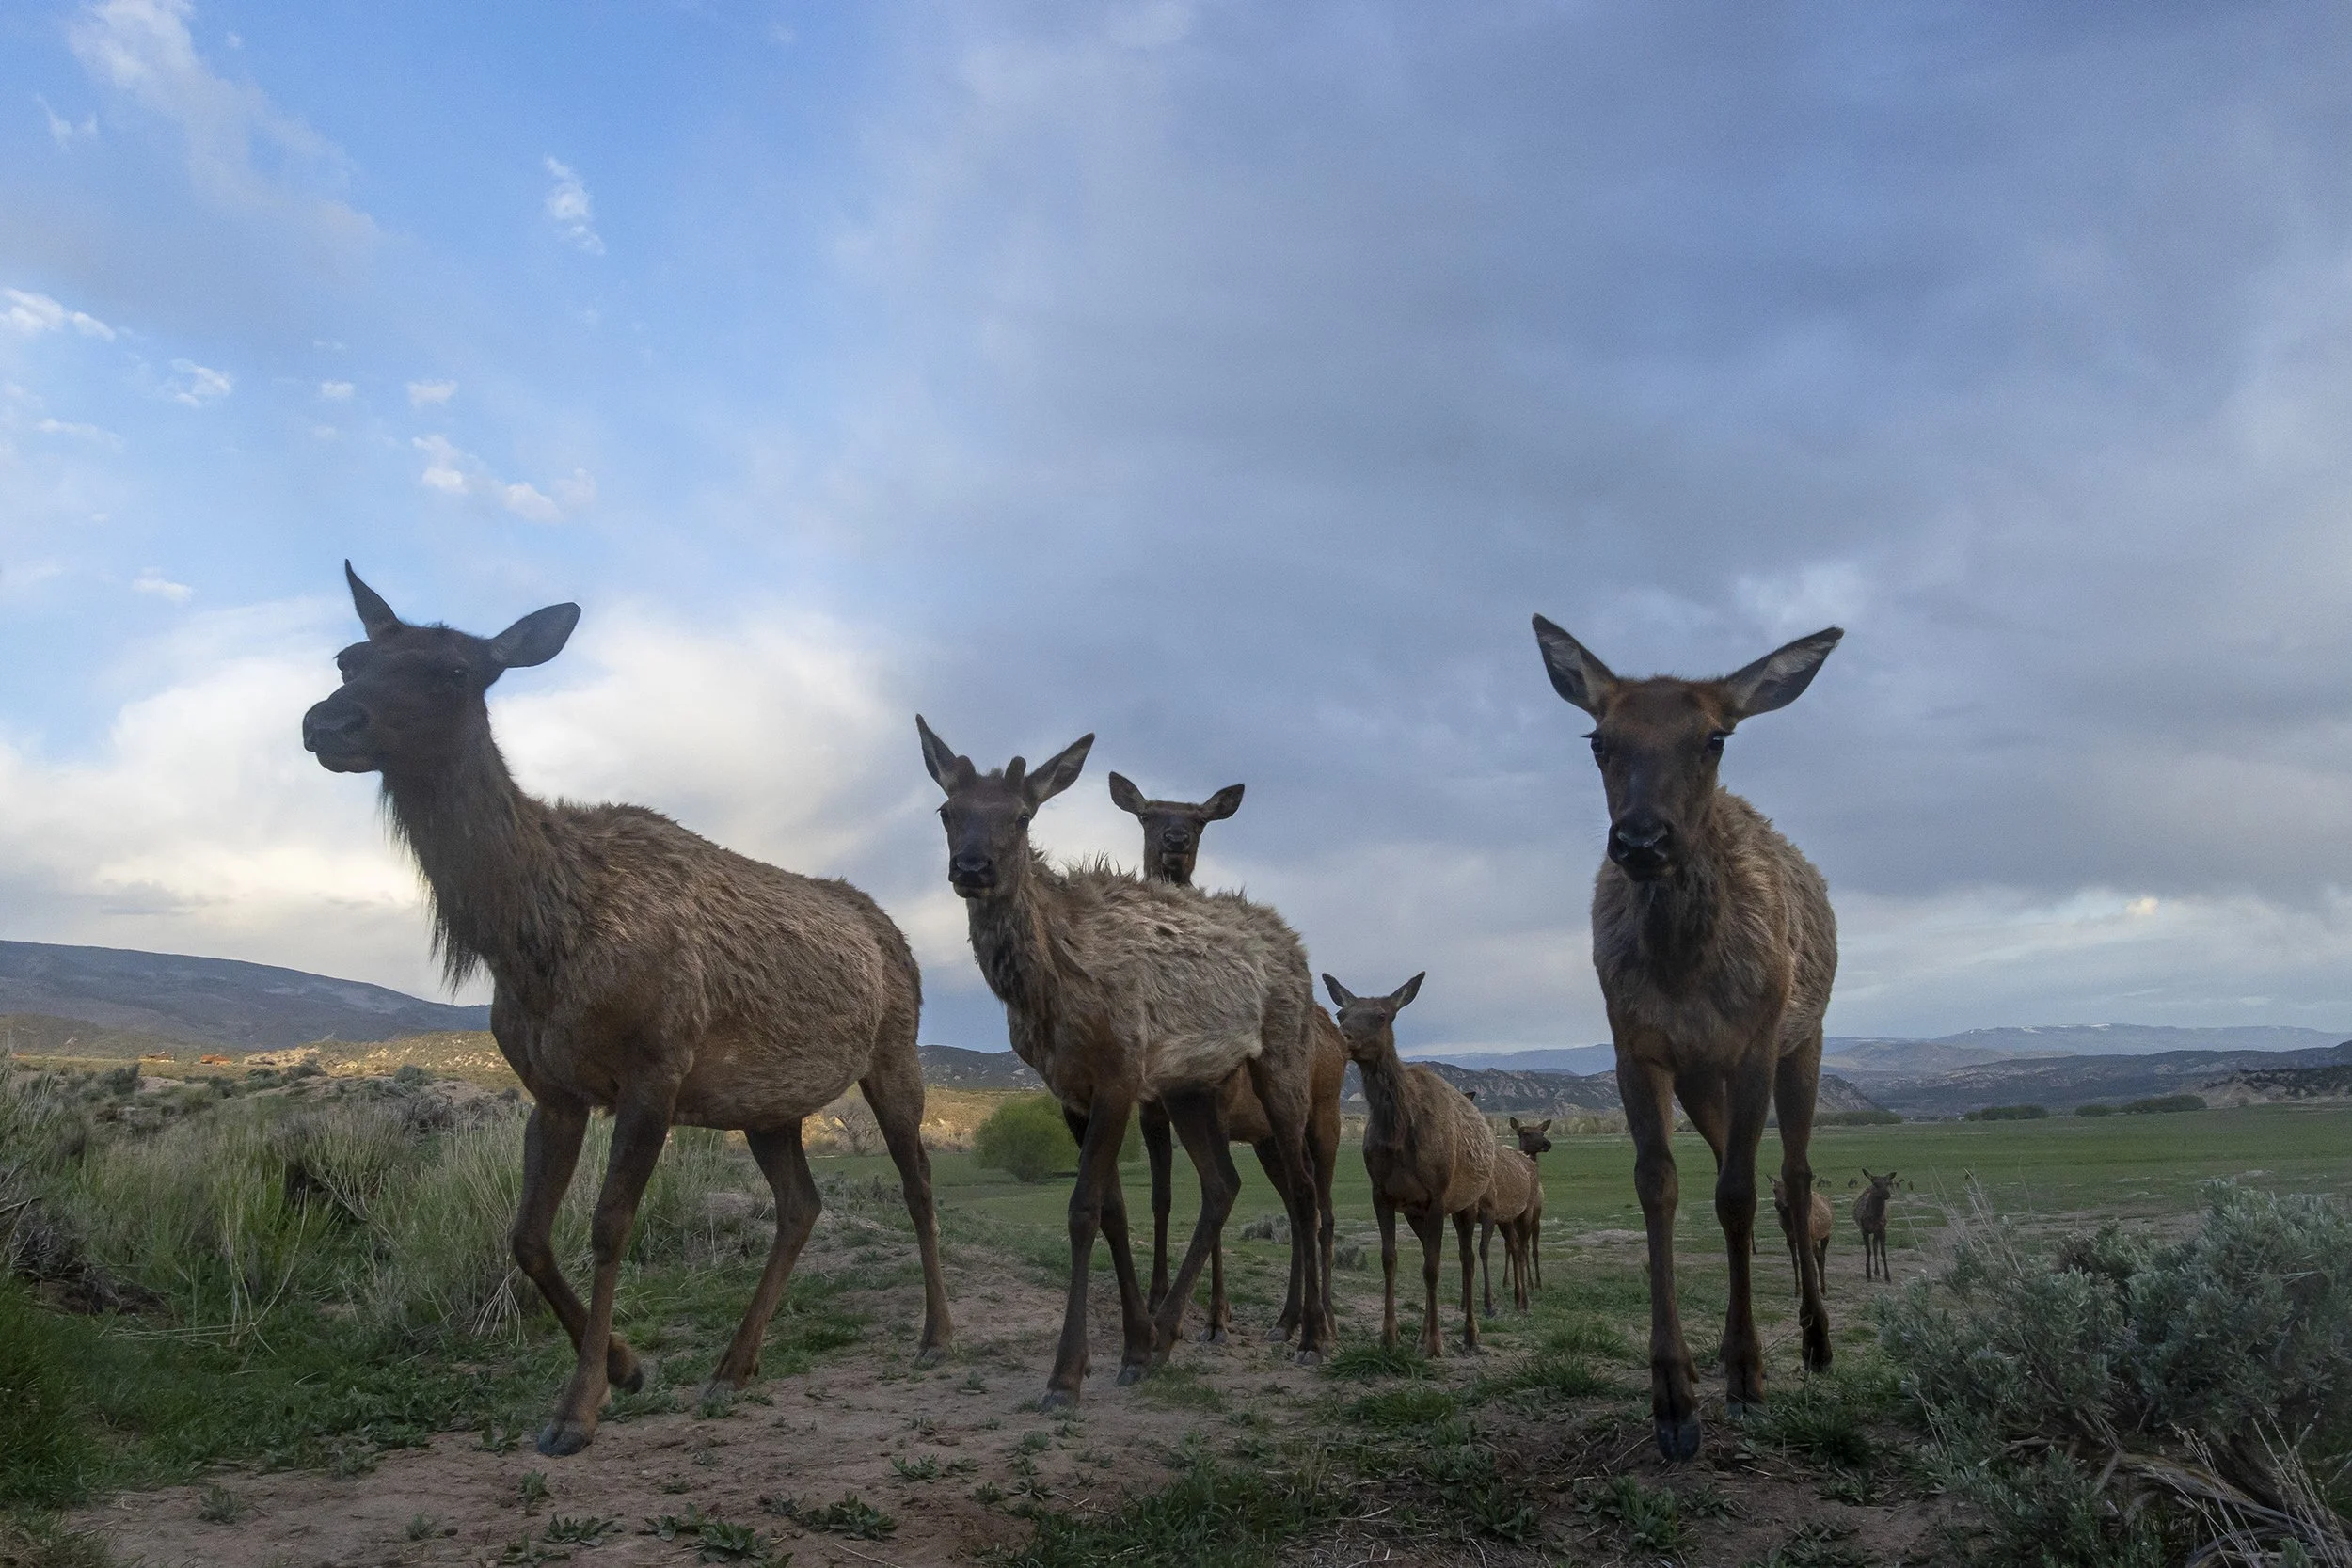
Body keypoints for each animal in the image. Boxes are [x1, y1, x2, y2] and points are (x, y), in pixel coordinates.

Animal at [300, 565, 951, 1459]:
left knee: (917, 1178)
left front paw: (578, 1408)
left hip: (895, 1050)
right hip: (766, 1101)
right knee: (801, 1204)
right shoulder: (553, 1087)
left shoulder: (657, 1065)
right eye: (348, 657)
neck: (534, 942)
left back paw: (937, 1334)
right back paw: (734, 1363)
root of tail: (895, 933)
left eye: (456, 671)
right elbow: (526, 1234)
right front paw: (627, 1364)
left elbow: (609, 1225)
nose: (327, 721)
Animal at [1108, 772, 1343, 1349]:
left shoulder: (1212, 1097)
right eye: (1147, 815)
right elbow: (1165, 1197)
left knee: (1321, 1207)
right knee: (1297, 1205)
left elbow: (1213, 1195)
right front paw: (1159, 1299)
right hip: (1267, 1140)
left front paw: (1216, 1317)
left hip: (1322, 1116)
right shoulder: (1152, 1110)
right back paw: (1287, 1319)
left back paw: (1323, 1321)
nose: (1175, 842)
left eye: (1199, 820)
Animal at [1324, 973, 1494, 1357]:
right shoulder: (1382, 1194)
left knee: (1467, 1258)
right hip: (1417, 1213)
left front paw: (1434, 1343)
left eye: (1382, 1015)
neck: (1399, 1136)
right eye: (1341, 1013)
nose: (1343, 1037)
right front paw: (1390, 1336)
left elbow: (1432, 1268)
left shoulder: (1438, 1194)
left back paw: (1470, 1334)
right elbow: (1390, 1260)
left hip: (1468, 1201)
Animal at [1531, 614, 1842, 1462]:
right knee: (1760, 1170)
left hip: (1805, 1042)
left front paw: (1748, 1376)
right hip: (1706, 1079)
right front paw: (1673, 1395)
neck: (1685, 974)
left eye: (1714, 737)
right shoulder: (1636, 1047)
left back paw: (1817, 1338)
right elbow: (1659, 1184)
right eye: (1599, 738)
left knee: (1793, 1175)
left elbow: (1734, 1194)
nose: (1642, 839)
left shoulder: (1757, 1041)